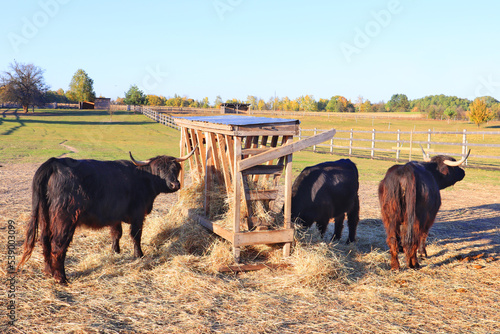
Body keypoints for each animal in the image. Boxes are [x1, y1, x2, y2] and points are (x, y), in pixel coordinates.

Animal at [16, 147, 195, 284]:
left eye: (175, 169)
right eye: (159, 169)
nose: (175, 184)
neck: (142, 179)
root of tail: (54, 162)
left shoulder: (115, 215)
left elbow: (116, 233)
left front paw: (115, 251)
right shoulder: (138, 214)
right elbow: (136, 235)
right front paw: (139, 255)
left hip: (44, 215)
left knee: (44, 240)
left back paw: (48, 271)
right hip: (64, 217)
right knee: (58, 245)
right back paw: (61, 278)